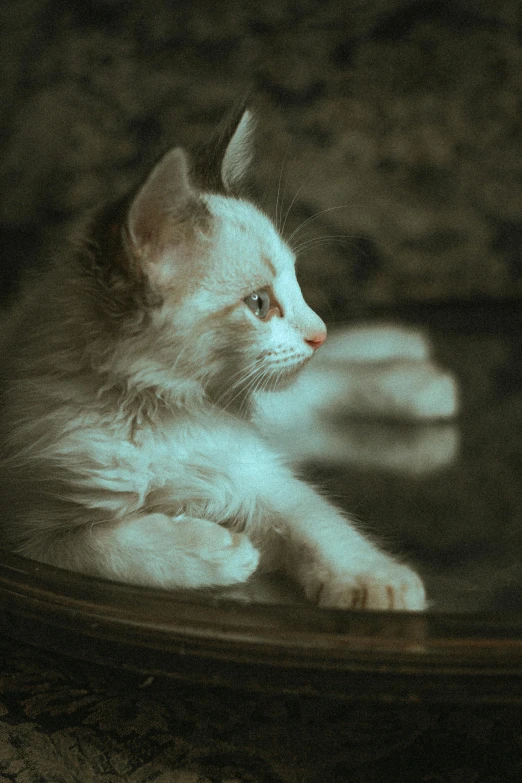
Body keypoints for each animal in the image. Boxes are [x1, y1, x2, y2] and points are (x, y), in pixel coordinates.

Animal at [0, 107, 424, 612]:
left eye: (297, 281)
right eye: (259, 304)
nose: (318, 333)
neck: (153, 412)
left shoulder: (259, 472)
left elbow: (320, 522)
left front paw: (378, 581)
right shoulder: (27, 531)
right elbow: (99, 548)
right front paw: (217, 551)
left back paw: (409, 361)